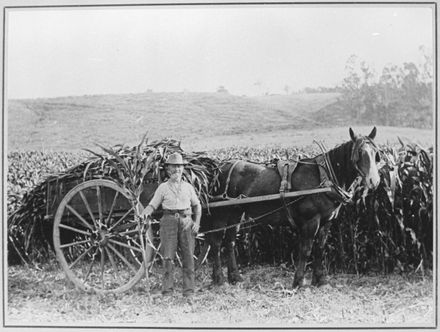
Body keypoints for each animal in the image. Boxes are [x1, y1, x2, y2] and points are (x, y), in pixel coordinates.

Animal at [200, 127, 382, 288]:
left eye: (376, 153)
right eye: (359, 153)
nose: (374, 181)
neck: (323, 177)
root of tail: (219, 167)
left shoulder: (326, 221)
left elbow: (320, 249)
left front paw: (321, 281)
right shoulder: (311, 221)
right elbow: (306, 250)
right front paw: (299, 282)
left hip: (236, 213)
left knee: (230, 242)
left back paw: (235, 278)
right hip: (222, 214)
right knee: (216, 242)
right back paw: (220, 280)